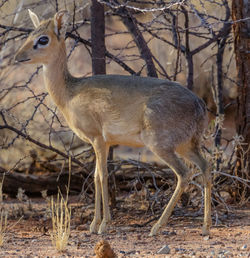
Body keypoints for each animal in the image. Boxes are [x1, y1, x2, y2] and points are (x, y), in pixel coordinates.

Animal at [14, 10, 212, 236]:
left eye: (43, 39)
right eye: (30, 34)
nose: (18, 57)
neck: (70, 93)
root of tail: (199, 104)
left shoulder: (98, 139)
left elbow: (101, 176)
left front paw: (103, 225)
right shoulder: (105, 143)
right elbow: (95, 176)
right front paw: (93, 224)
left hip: (160, 145)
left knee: (184, 173)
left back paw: (156, 227)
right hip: (187, 145)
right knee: (205, 166)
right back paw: (205, 227)